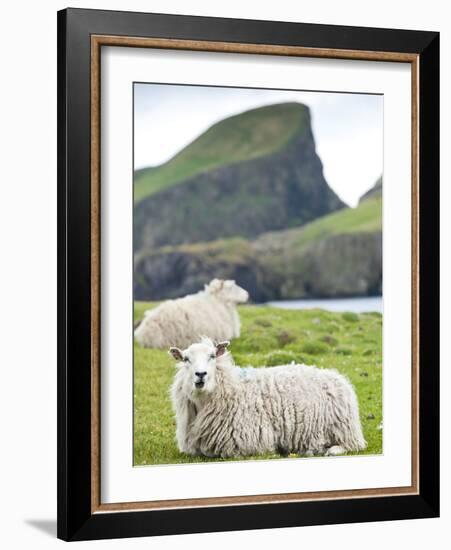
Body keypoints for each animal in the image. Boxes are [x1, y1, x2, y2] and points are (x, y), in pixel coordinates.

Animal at [170, 338, 368, 460]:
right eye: (186, 359)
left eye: (212, 356)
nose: (200, 374)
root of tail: (338, 377)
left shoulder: (249, 443)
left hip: (343, 429)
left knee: (351, 446)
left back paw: (327, 450)